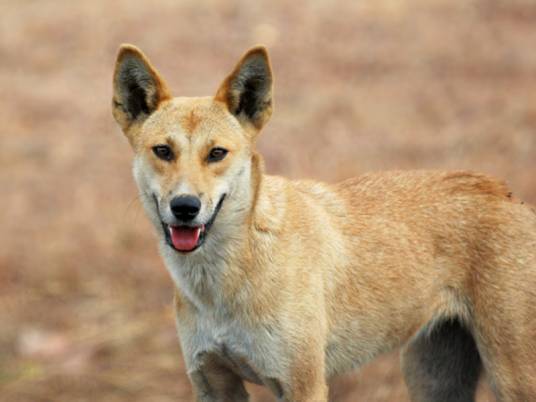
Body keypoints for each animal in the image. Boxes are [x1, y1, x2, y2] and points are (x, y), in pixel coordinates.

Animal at [112, 44, 536, 402]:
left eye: (216, 153)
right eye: (163, 151)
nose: (185, 207)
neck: (226, 278)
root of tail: (506, 194)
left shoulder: (304, 385)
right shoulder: (213, 383)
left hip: (511, 377)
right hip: (431, 376)